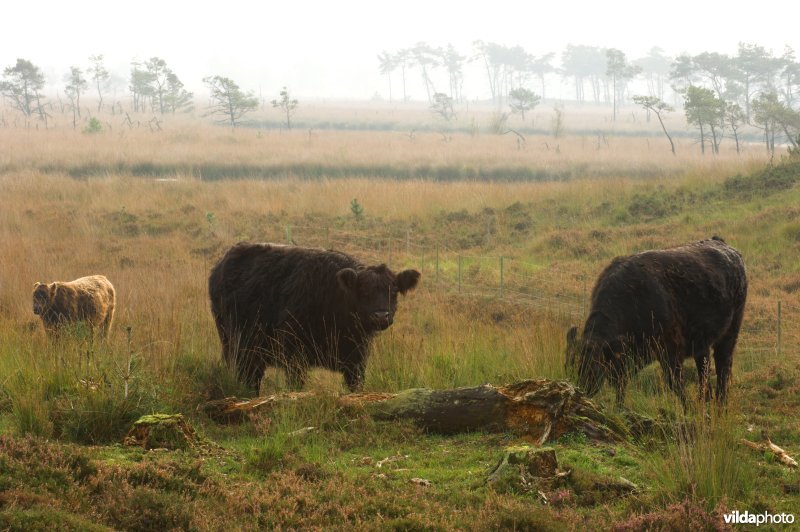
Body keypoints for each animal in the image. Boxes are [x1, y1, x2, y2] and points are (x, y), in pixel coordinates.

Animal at [206, 243, 422, 392]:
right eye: (363, 291)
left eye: (393, 291)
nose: (380, 316)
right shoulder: (294, 355)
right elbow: (296, 386)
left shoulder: (356, 360)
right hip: (234, 344)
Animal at [564, 236, 748, 404]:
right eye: (568, 364)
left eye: (593, 365)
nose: (579, 391)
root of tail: (724, 246)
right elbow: (620, 384)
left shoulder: (671, 352)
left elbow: (676, 385)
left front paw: (688, 410)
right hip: (702, 344)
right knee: (704, 370)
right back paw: (705, 402)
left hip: (730, 334)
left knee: (723, 367)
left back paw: (720, 404)